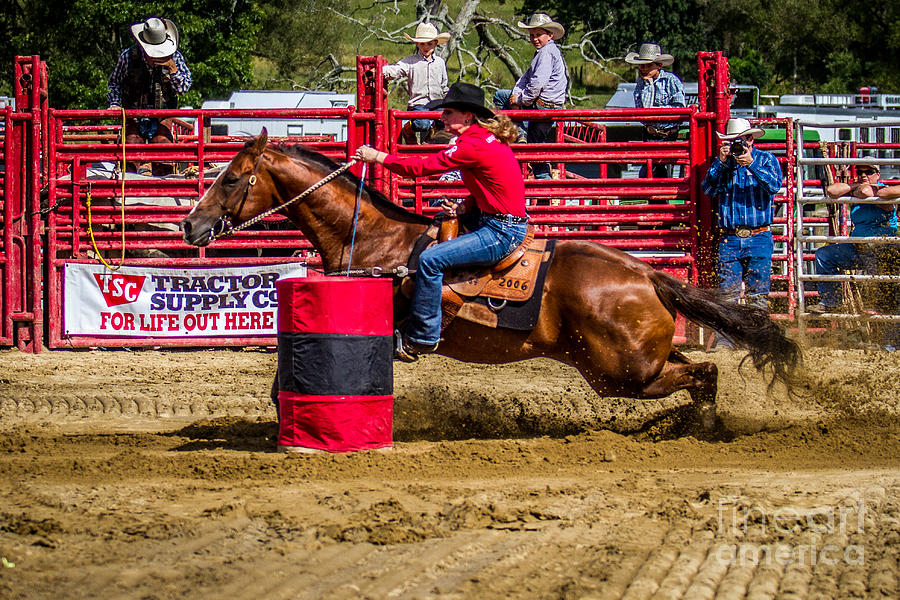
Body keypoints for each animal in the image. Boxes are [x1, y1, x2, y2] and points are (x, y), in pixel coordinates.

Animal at [183, 131, 800, 434]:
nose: (191, 225)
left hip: (622, 371)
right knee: (702, 374)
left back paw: (699, 430)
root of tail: (649, 274)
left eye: (232, 178)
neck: (378, 239)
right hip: (626, 363)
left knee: (705, 372)